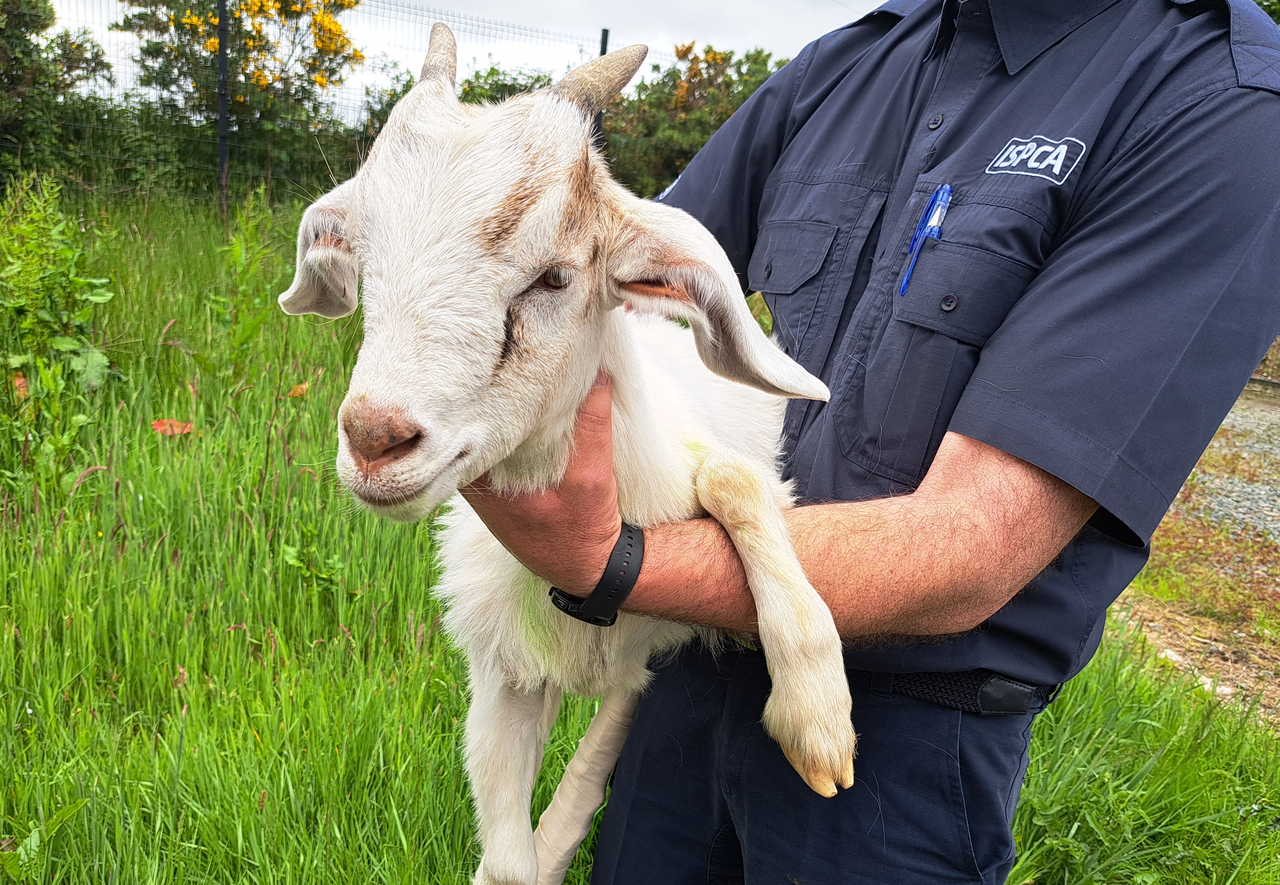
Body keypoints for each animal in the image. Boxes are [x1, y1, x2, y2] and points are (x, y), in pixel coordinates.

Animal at [278, 24, 856, 885]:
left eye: (553, 276)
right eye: (364, 261)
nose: (376, 439)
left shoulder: (649, 652)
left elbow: (732, 478)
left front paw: (817, 713)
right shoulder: (504, 677)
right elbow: (511, 864)